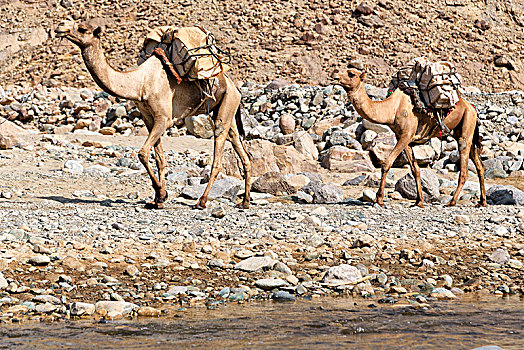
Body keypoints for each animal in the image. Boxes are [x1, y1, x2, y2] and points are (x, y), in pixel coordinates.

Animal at [54, 19, 251, 208]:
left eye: (82, 28)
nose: (60, 26)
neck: (140, 83)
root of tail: (235, 88)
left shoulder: (164, 118)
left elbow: (142, 153)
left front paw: (162, 194)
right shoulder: (149, 118)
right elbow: (159, 158)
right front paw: (157, 200)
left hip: (227, 103)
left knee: (218, 150)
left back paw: (201, 202)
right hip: (228, 108)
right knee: (241, 148)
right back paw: (245, 202)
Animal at [336, 67, 488, 206]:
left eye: (351, 74)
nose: (335, 75)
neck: (392, 109)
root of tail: (472, 107)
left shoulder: (406, 134)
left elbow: (386, 163)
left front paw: (378, 200)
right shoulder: (403, 138)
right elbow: (415, 169)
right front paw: (419, 201)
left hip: (466, 127)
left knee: (464, 170)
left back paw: (452, 202)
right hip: (464, 131)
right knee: (480, 165)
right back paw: (482, 202)